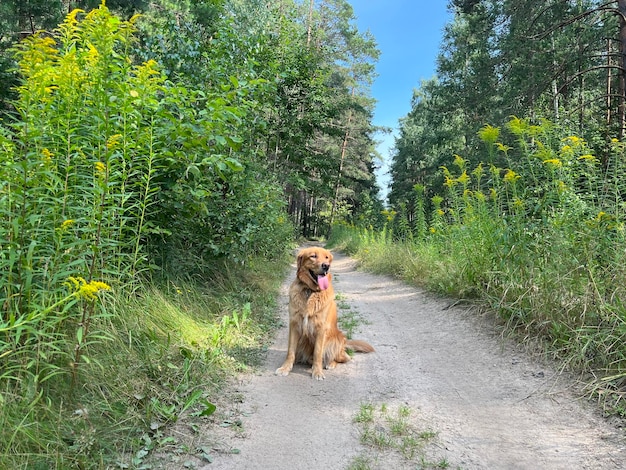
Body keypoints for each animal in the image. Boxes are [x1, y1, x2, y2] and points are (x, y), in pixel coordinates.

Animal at [272, 244, 370, 380]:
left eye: (327, 257)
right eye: (313, 256)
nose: (326, 266)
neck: (310, 291)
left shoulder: (321, 329)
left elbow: (318, 352)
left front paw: (317, 372)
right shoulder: (294, 324)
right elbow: (290, 351)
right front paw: (285, 368)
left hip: (336, 340)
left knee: (343, 358)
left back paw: (330, 364)